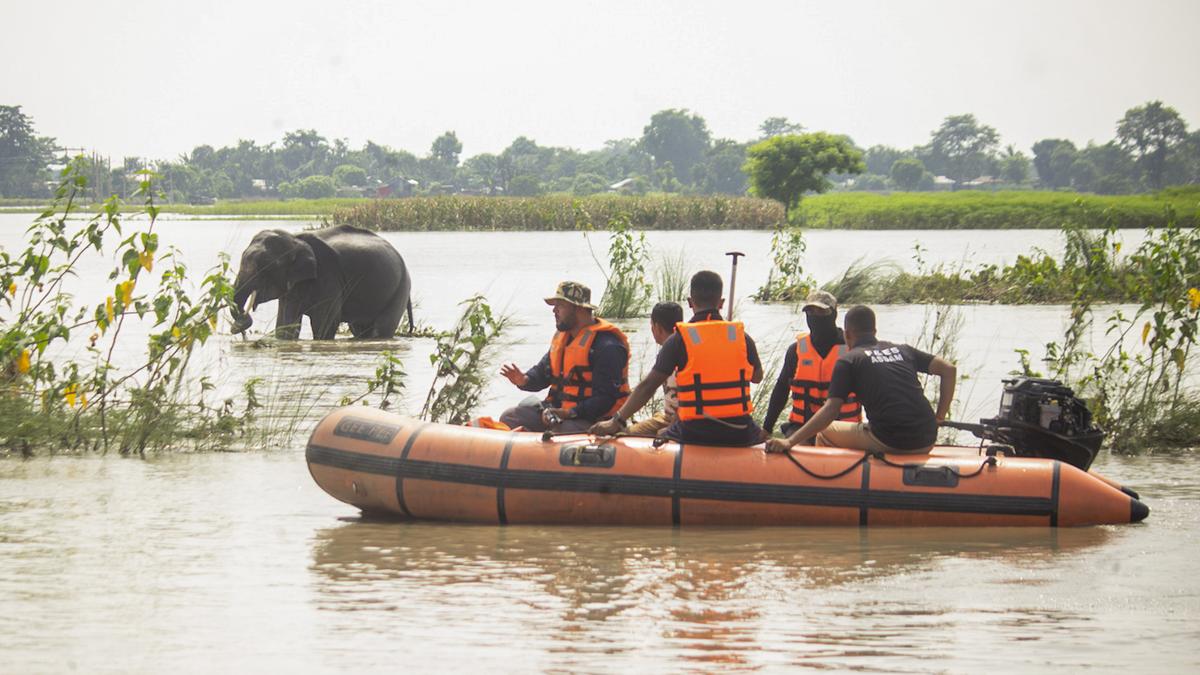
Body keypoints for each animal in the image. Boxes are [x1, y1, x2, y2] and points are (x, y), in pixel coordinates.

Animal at [228, 224, 412, 338]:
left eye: (265, 266)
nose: (237, 326)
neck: (295, 239)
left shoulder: (328, 274)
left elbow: (325, 322)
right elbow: (286, 323)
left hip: (400, 288)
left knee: (382, 328)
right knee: (359, 329)